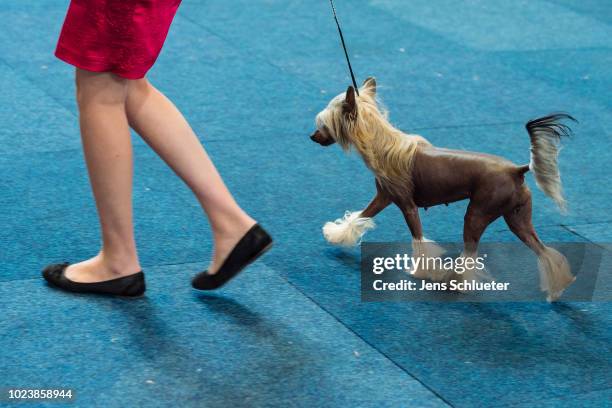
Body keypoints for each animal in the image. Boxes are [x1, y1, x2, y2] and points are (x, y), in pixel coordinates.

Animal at [314, 79, 576, 302]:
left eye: (325, 124)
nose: (312, 136)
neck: (384, 146)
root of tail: (516, 169)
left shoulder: (407, 206)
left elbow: (418, 239)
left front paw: (422, 271)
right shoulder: (383, 198)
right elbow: (360, 216)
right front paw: (337, 234)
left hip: (478, 214)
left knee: (470, 252)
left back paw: (454, 281)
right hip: (517, 219)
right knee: (544, 252)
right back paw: (557, 288)